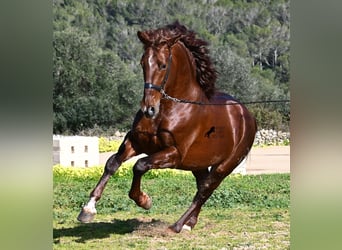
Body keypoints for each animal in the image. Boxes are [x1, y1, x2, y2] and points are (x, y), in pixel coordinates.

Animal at [77, 21, 254, 232]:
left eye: (162, 65)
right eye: (143, 63)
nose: (149, 109)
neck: (171, 109)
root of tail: (246, 114)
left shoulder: (174, 154)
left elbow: (140, 165)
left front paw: (144, 200)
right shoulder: (135, 142)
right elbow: (112, 163)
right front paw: (88, 209)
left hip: (225, 166)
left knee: (205, 190)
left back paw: (178, 225)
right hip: (198, 163)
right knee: (202, 186)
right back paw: (189, 224)